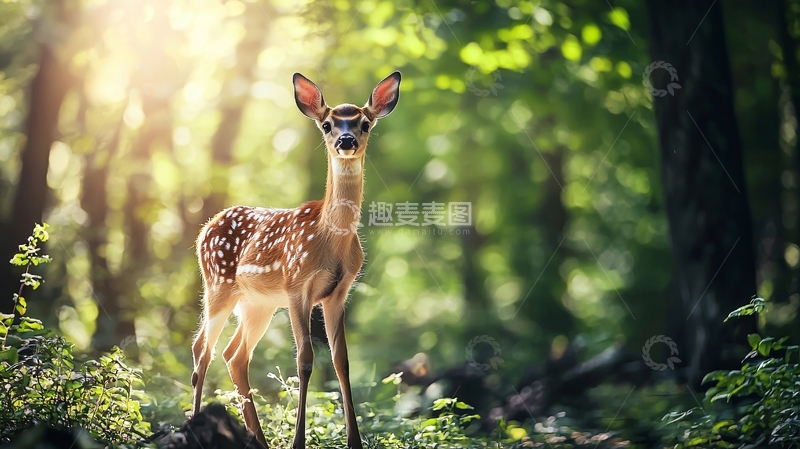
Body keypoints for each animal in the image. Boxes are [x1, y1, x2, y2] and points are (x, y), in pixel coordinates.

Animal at [190, 71, 401, 449]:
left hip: (257, 303)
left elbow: (342, 361)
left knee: (234, 354)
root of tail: (205, 229)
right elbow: (304, 360)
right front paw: (298, 441)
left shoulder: (337, 293)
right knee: (202, 349)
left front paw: (355, 441)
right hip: (218, 286)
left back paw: (257, 439)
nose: (346, 140)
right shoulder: (296, 287)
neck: (330, 239)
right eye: (327, 124)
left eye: (364, 123)